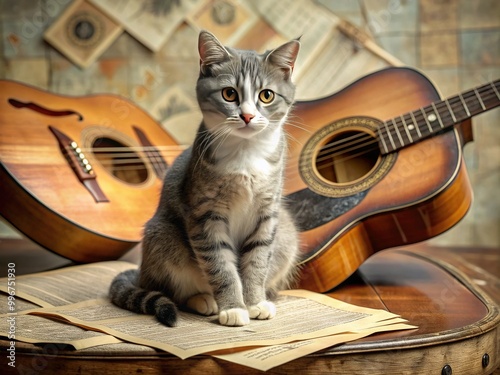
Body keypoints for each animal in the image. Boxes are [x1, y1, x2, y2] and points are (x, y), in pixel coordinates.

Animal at [109, 30, 300, 328]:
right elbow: (220, 264)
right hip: (162, 236)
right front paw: (233, 307)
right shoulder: (205, 214)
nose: (247, 115)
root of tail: (141, 274)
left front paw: (255, 301)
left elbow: (257, 260)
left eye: (267, 95)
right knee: (172, 291)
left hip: (287, 235)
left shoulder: (267, 213)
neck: (245, 153)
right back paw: (204, 300)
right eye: (229, 93)